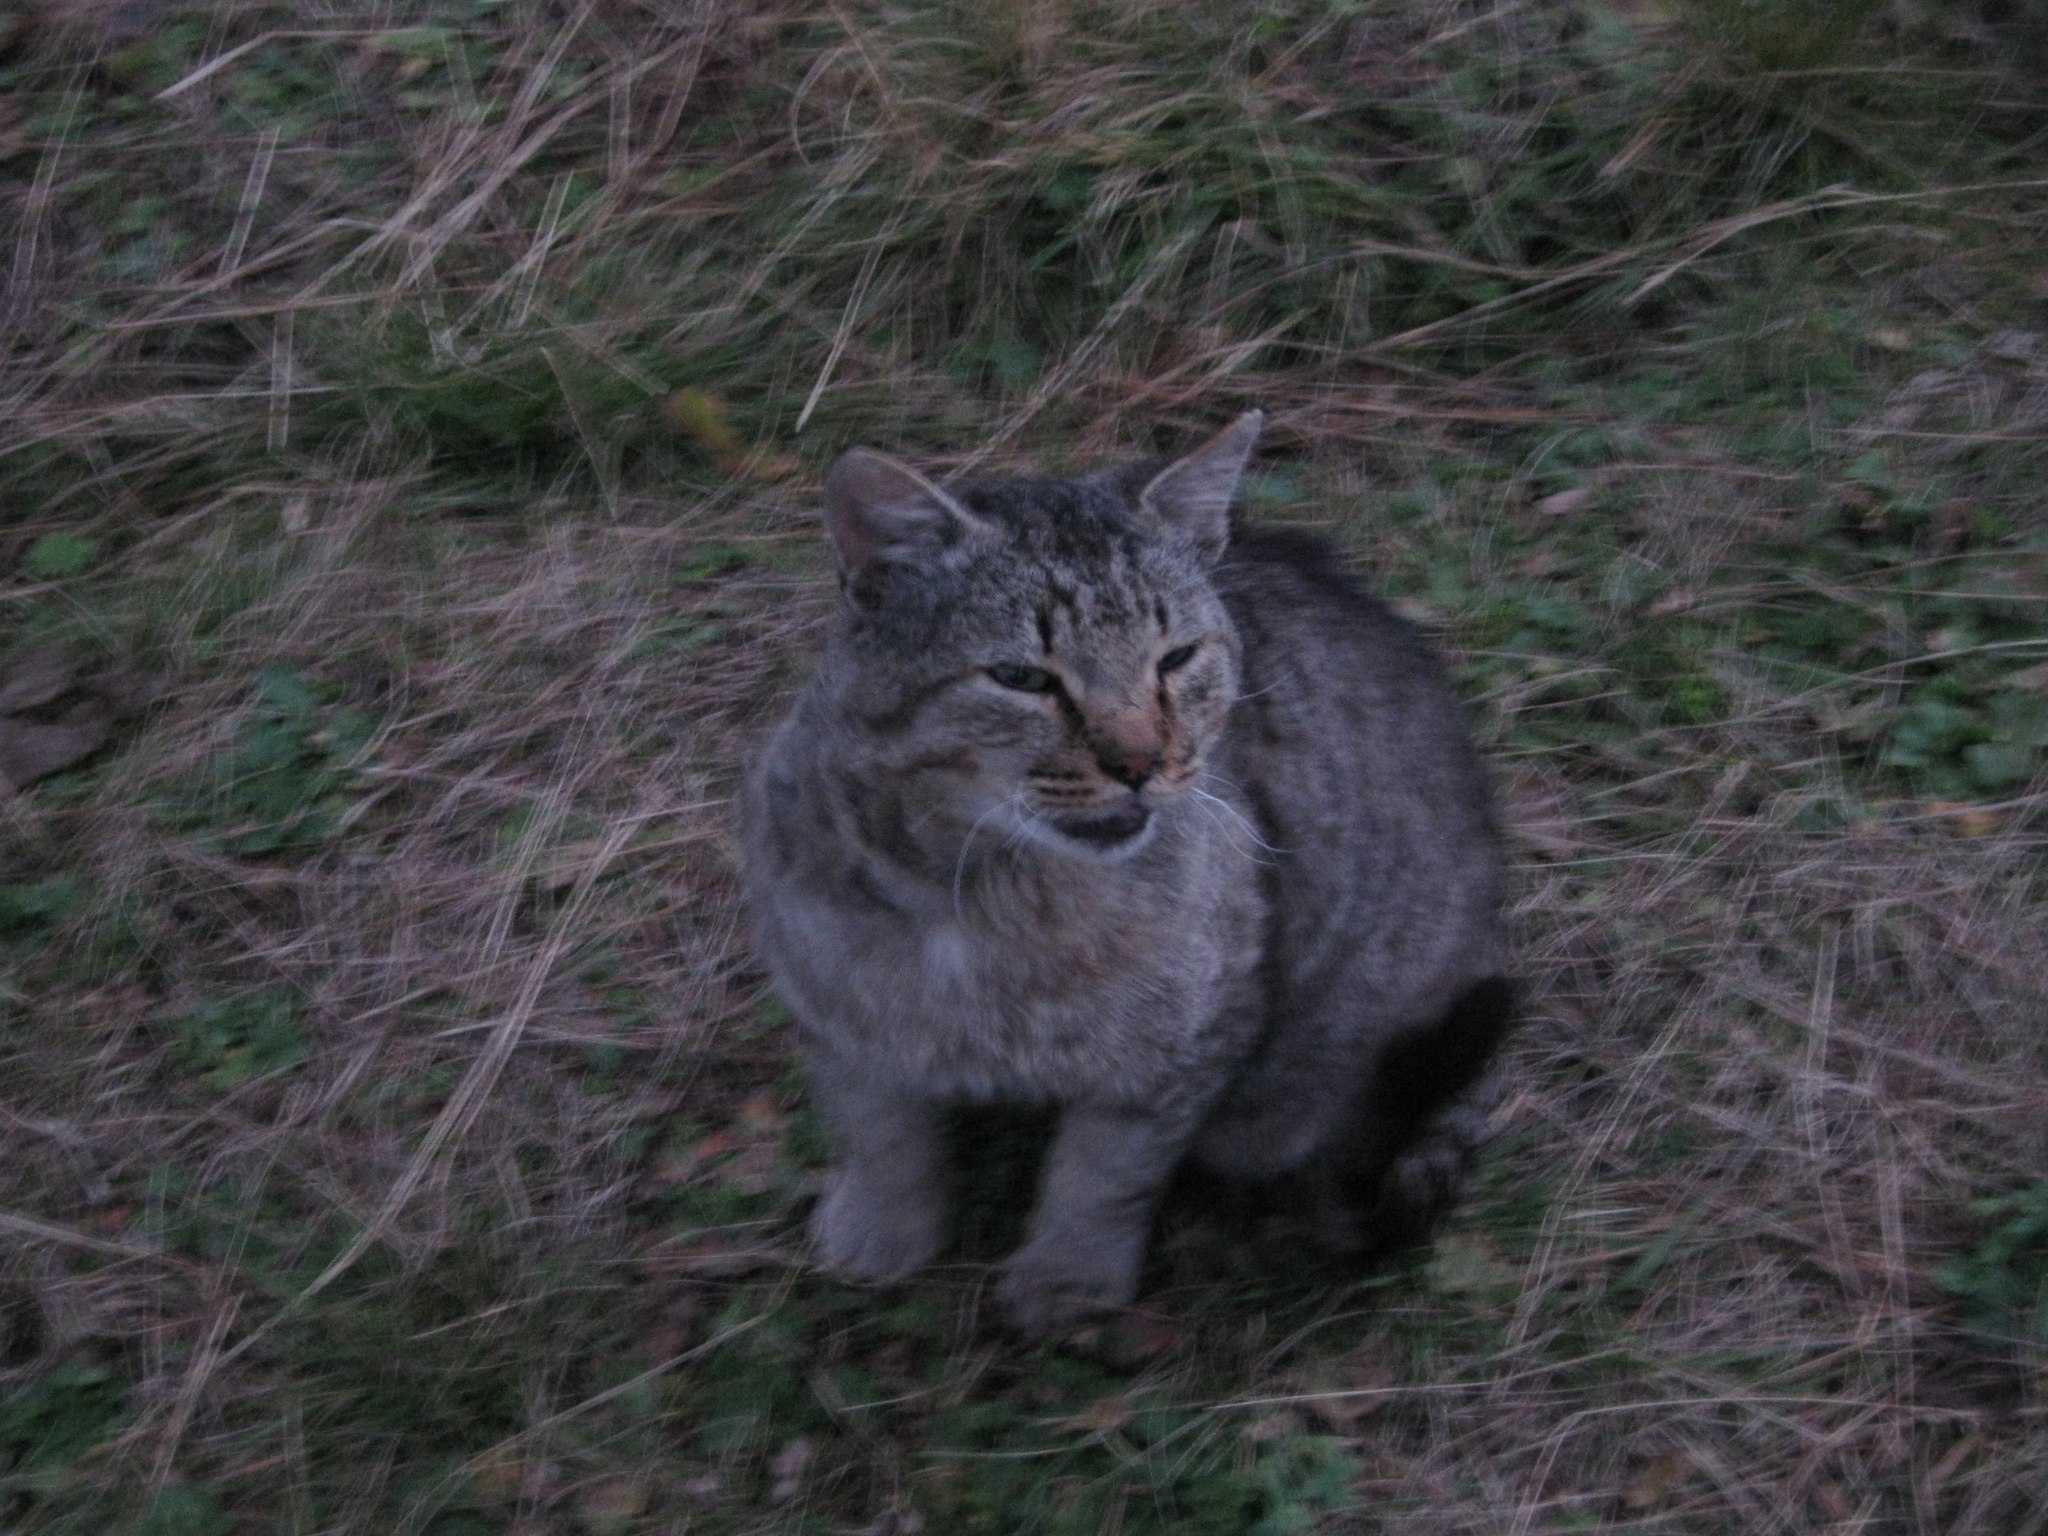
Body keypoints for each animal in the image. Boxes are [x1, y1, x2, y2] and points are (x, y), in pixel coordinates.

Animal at [745, 415, 1515, 1343]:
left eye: (1176, 658)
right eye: (1021, 677)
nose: (1139, 762)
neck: (983, 895)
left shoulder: (1185, 1047)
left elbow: (1105, 1174)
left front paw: (1068, 1278)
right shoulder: (833, 1005)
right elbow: (877, 1130)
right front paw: (882, 1225)